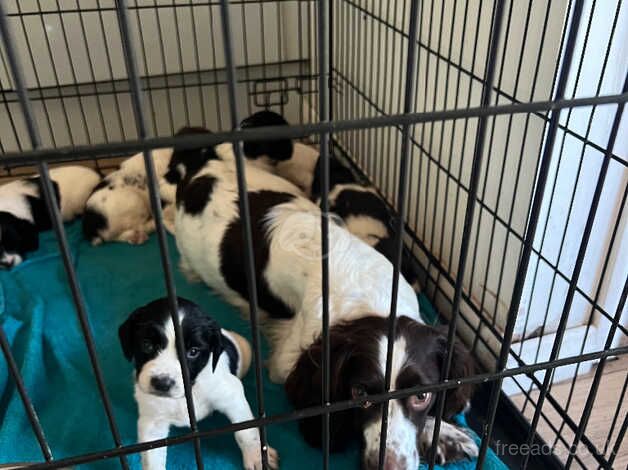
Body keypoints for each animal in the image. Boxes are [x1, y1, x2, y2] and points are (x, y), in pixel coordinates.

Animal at [120, 298, 278, 470]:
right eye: (147, 345)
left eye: (193, 352)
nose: (162, 383)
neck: (186, 394)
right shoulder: (153, 422)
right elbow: (151, 457)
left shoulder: (231, 395)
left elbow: (245, 429)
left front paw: (257, 455)